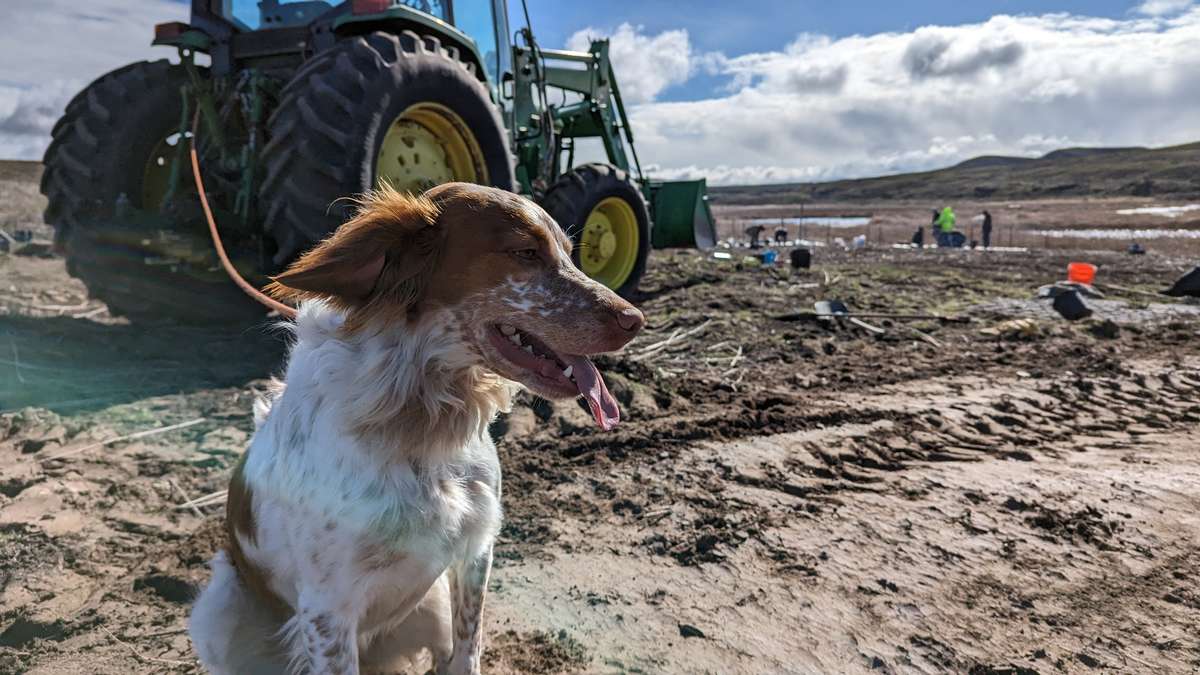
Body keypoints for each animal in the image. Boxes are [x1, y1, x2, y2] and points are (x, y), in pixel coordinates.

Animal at [189, 181, 648, 667]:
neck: (422, 417)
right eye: (525, 252)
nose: (635, 320)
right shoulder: (327, 610)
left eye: (569, 254)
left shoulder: (475, 552)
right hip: (217, 609)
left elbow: (468, 649)